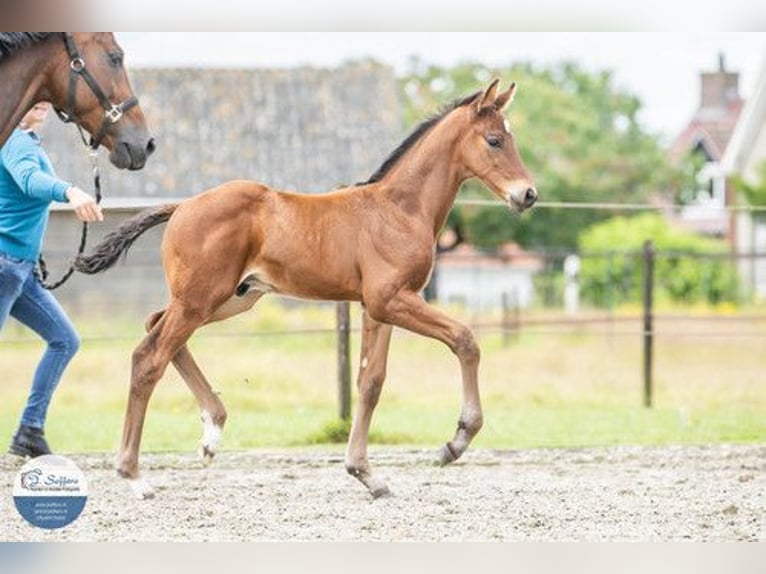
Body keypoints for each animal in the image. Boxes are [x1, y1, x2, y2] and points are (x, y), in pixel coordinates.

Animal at [75, 79, 538, 500]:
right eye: (494, 140)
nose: (528, 195)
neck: (400, 209)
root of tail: (183, 206)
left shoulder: (380, 307)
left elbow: (371, 381)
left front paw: (365, 474)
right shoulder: (391, 300)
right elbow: (465, 339)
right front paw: (454, 443)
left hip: (230, 298)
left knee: (154, 326)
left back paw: (212, 432)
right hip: (200, 300)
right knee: (149, 357)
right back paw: (133, 473)